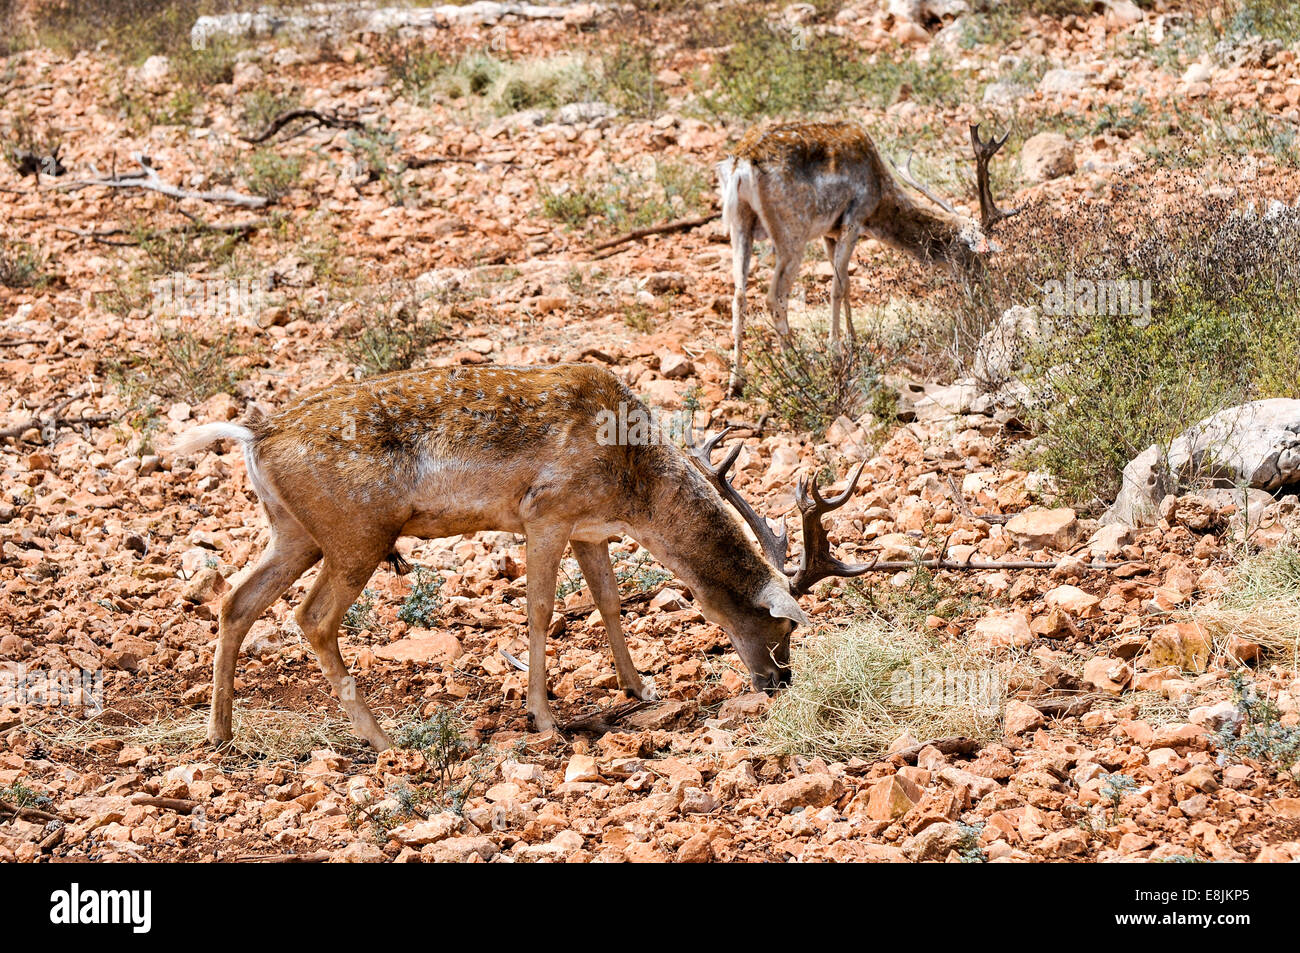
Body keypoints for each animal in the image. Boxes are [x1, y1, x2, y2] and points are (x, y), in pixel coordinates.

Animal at [170, 361, 863, 748]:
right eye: (780, 627)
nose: (779, 680)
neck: (634, 484)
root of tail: (255, 434)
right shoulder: (545, 513)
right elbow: (541, 612)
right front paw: (545, 719)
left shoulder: (589, 528)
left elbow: (610, 602)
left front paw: (638, 688)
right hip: (355, 535)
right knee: (310, 617)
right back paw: (384, 739)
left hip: (295, 531)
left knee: (237, 600)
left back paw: (221, 732)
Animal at [722, 119, 1013, 395]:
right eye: (974, 255)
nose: (982, 286)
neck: (878, 200)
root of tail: (741, 165)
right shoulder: (854, 218)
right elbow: (837, 288)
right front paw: (837, 356)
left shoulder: (829, 233)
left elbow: (847, 284)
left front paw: (854, 344)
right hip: (792, 233)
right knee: (774, 298)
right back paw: (797, 373)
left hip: (739, 224)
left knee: (739, 295)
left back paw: (736, 382)